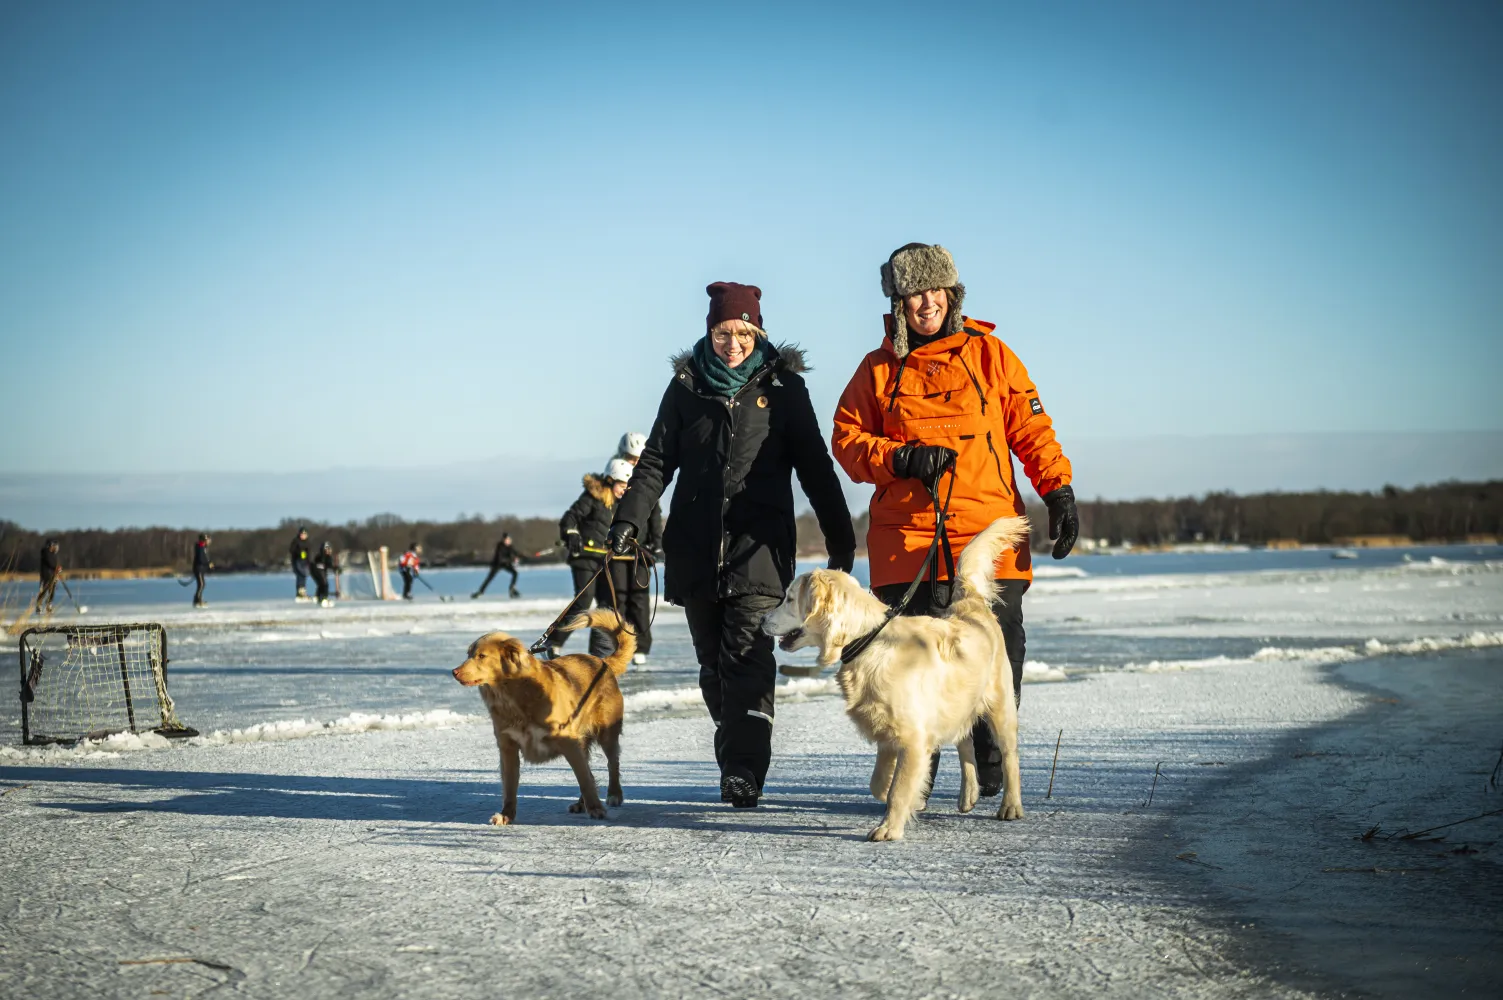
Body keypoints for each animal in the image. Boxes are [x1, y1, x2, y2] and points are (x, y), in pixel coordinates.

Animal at [447, 607, 631, 824]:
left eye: (481, 656)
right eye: (468, 654)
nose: (454, 672)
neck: (512, 697)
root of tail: (601, 661)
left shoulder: (569, 743)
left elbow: (584, 778)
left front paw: (595, 808)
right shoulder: (507, 747)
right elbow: (509, 786)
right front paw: (506, 814)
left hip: (606, 733)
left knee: (612, 763)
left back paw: (614, 794)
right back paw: (581, 804)